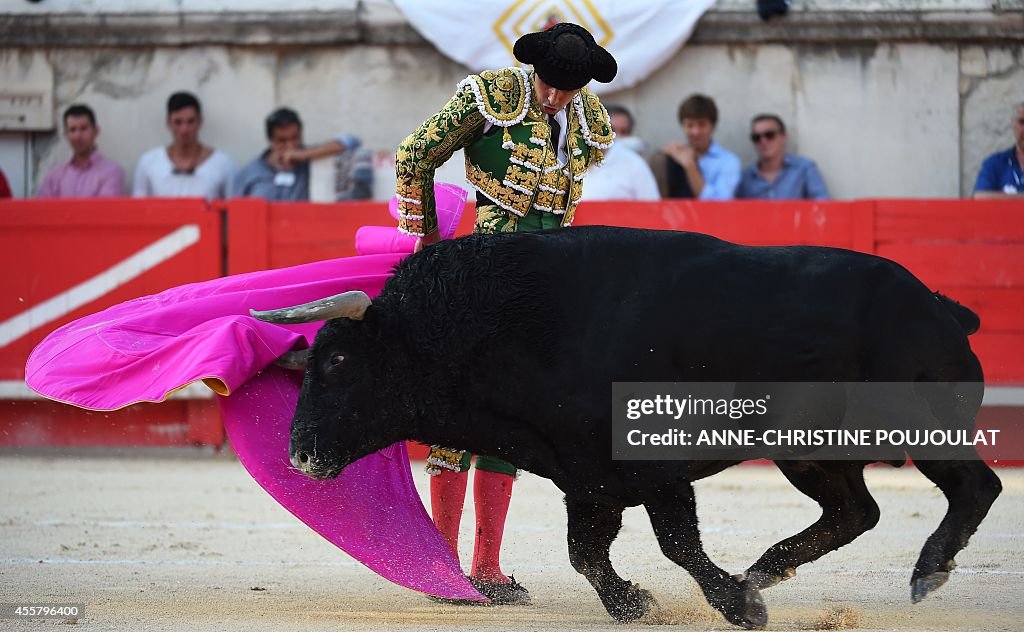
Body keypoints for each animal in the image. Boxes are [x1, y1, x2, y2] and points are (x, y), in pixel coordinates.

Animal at [253, 225, 999, 626]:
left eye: (339, 361)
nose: (300, 454)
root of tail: (939, 305)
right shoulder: (587, 477)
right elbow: (587, 552)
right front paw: (636, 604)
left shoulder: (653, 468)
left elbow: (677, 543)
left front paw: (738, 608)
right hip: (811, 453)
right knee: (855, 512)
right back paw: (767, 568)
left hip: (910, 422)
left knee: (975, 486)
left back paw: (924, 572)